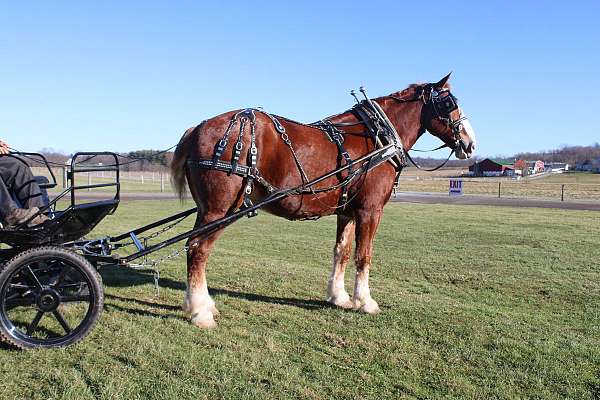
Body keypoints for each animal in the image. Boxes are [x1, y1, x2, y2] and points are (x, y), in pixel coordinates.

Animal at [171, 74, 476, 328]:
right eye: (449, 103)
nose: (470, 143)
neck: (377, 138)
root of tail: (197, 128)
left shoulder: (348, 212)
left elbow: (342, 252)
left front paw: (339, 297)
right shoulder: (370, 210)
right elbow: (364, 255)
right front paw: (366, 301)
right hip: (220, 210)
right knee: (197, 249)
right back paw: (200, 311)